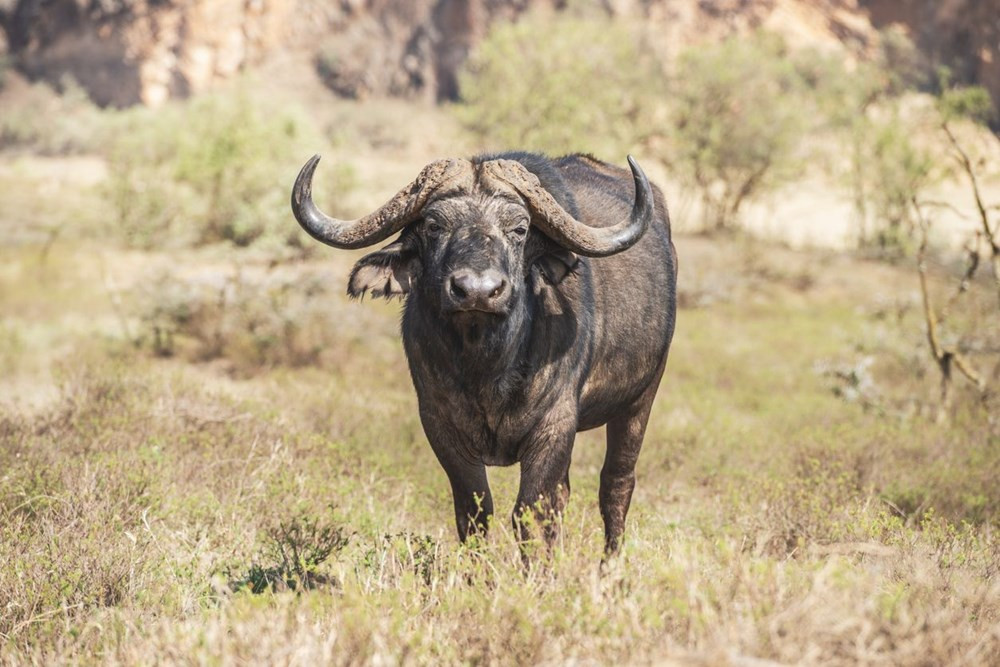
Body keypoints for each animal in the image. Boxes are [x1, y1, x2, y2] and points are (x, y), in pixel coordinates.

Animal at [292, 154, 676, 556]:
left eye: (520, 228)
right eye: (434, 226)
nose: (477, 291)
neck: (486, 366)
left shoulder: (554, 426)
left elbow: (531, 513)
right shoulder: (440, 427)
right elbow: (475, 511)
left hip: (640, 399)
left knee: (616, 484)